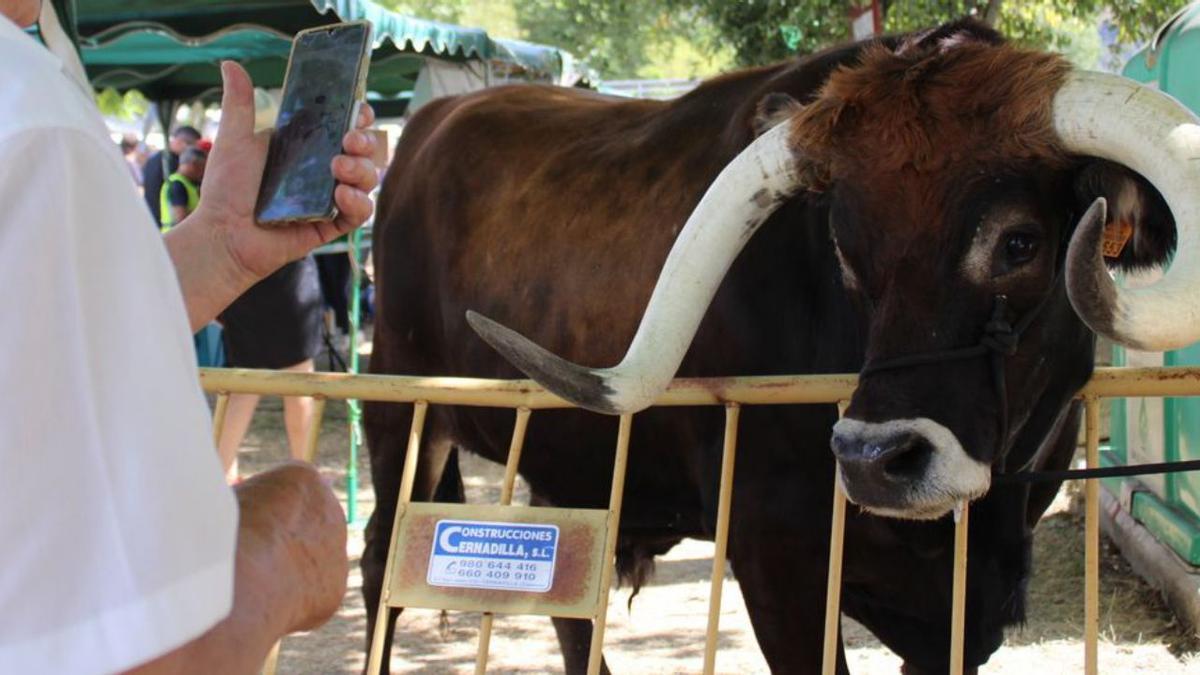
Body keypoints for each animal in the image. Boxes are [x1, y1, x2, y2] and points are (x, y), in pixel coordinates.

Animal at [364, 21, 1200, 672]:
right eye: (844, 248)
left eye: (1019, 242)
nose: (875, 460)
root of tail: (435, 121)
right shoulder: (778, 566)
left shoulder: (959, 615)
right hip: (402, 409)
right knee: (381, 561)